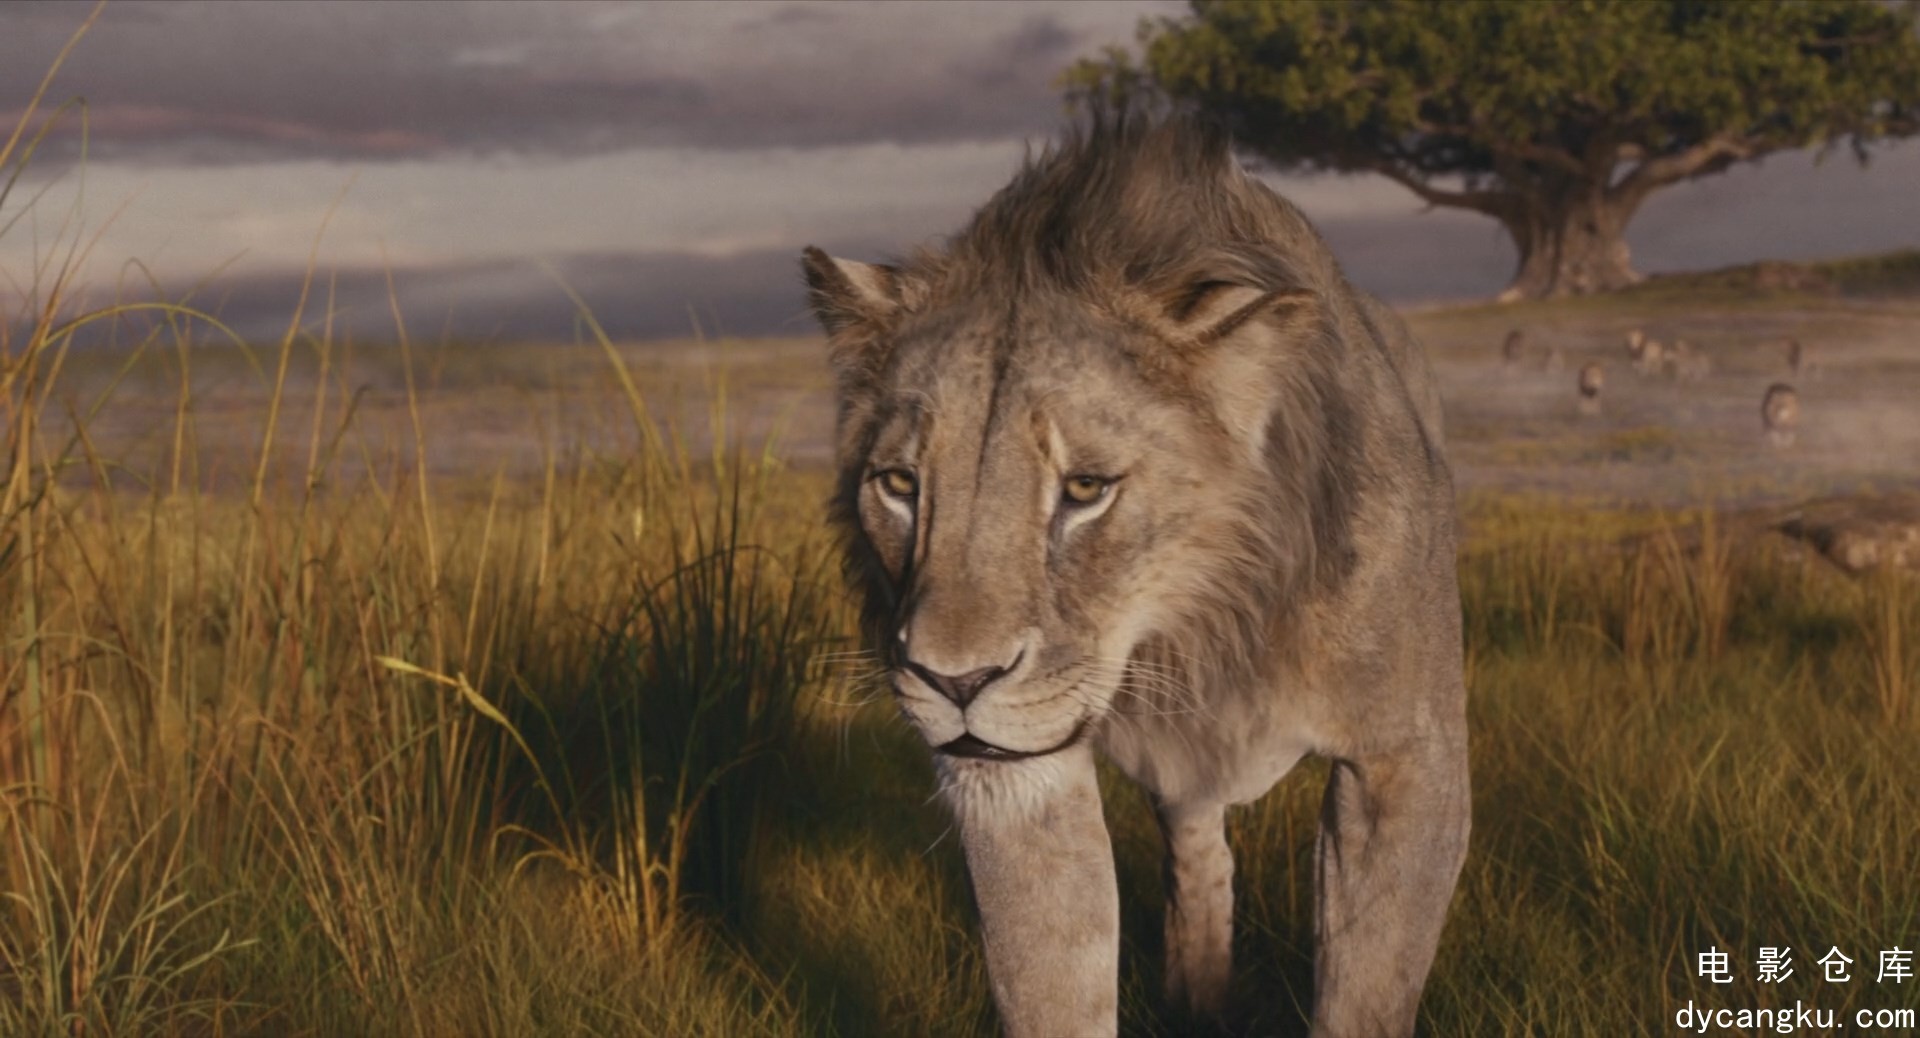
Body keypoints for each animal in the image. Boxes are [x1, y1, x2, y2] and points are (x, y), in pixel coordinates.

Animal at [801, 113, 1470, 1037]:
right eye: (900, 484)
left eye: (1086, 490)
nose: (953, 680)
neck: (1196, 631)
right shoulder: (1018, 775)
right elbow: (1054, 977)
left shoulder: (1410, 756)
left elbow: (1367, 992)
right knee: (1197, 858)